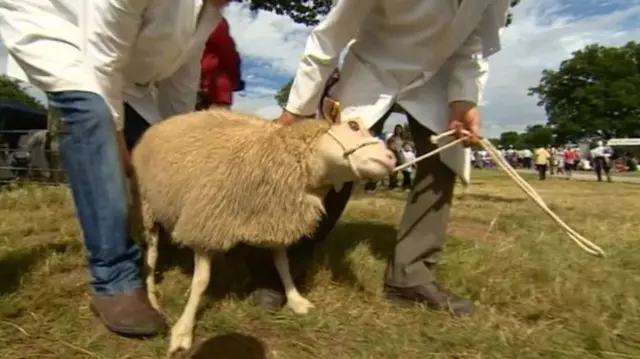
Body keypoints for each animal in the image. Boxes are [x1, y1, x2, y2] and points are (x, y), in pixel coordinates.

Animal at [131, 97, 398, 354]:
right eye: (353, 126)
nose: (392, 158)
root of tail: (161, 123)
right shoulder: (206, 222)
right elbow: (201, 281)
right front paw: (183, 331)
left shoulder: (275, 219)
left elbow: (283, 265)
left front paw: (295, 299)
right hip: (146, 205)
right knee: (151, 255)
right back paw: (152, 298)